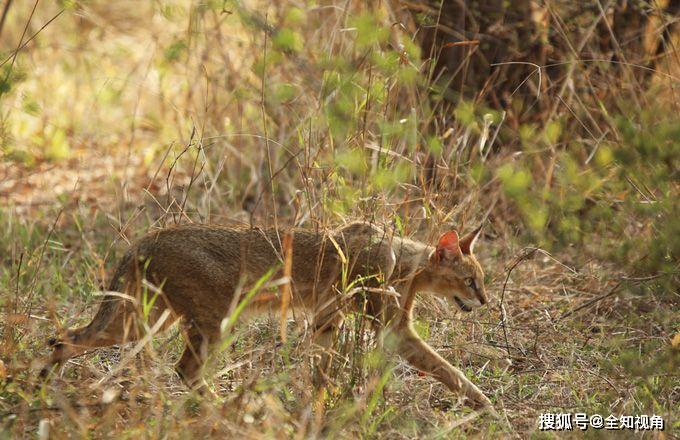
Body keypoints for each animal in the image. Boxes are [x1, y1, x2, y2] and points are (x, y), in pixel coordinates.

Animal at [43, 223, 494, 412]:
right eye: (470, 281)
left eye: (481, 280)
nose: (486, 300)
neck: (405, 261)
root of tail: (148, 237)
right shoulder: (395, 330)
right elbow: (448, 369)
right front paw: (485, 403)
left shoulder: (327, 319)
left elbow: (321, 369)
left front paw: (319, 402)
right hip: (209, 323)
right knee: (184, 369)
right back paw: (228, 405)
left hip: (145, 321)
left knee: (65, 337)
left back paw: (41, 383)